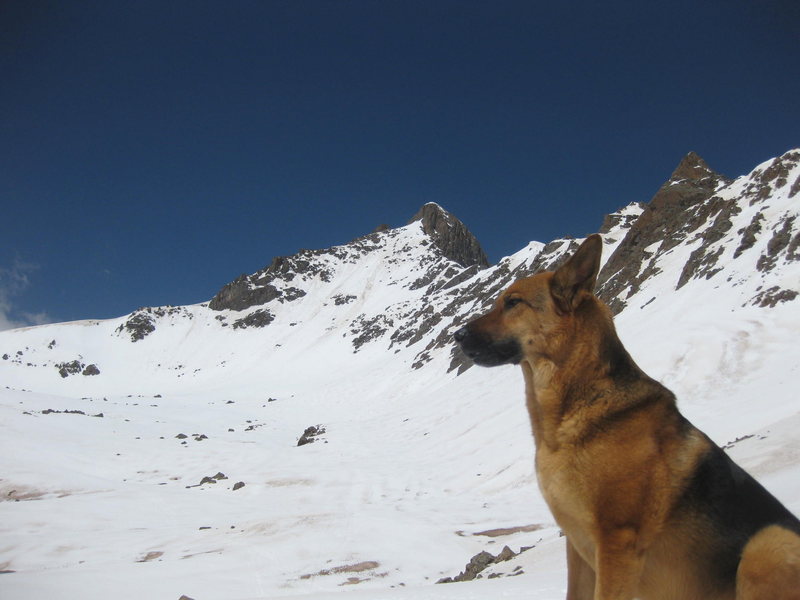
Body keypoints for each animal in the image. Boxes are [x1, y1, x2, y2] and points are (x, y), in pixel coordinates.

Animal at [456, 236, 800, 600]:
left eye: (513, 303)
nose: (456, 336)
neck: (572, 409)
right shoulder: (577, 547)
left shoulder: (617, 541)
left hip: (767, 544)